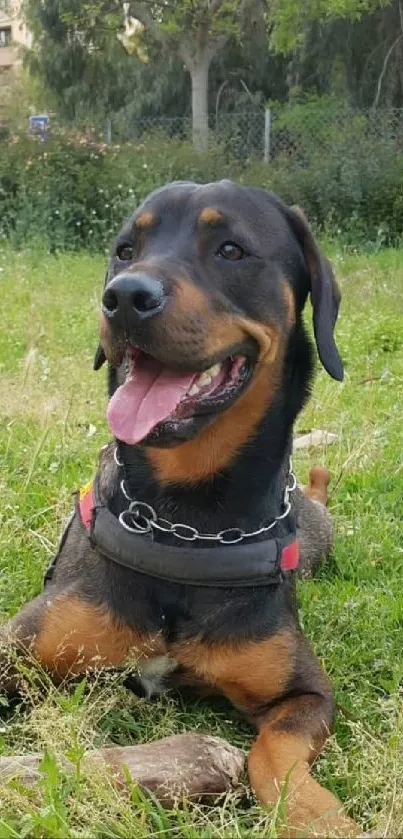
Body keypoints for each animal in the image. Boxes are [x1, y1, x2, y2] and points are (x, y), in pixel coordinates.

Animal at [1, 180, 358, 836]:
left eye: (231, 249)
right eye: (125, 249)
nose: (124, 296)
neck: (187, 522)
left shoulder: (306, 694)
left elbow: (275, 752)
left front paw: (315, 812)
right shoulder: (16, 651)